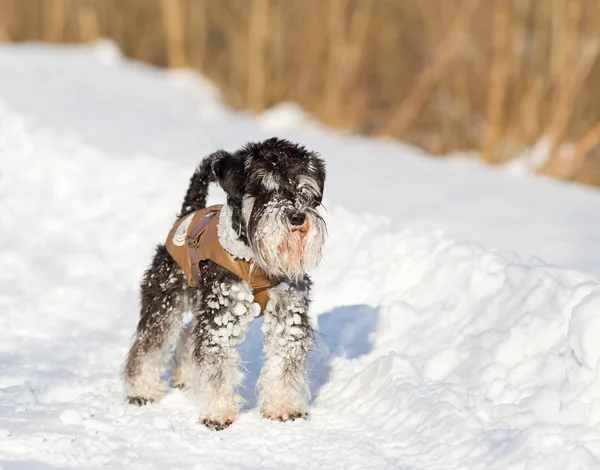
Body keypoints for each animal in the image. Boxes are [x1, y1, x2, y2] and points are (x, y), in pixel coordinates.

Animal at [123, 137, 328, 430]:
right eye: (263, 188)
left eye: (304, 188)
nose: (298, 217)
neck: (255, 260)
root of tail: (188, 210)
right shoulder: (221, 316)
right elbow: (216, 364)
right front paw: (218, 413)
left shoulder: (288, 314)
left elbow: (284, 363)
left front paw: (283, 407)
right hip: (165, 299)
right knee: (150, 343)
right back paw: (142, 390)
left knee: (188, 335)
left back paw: (185, 376)